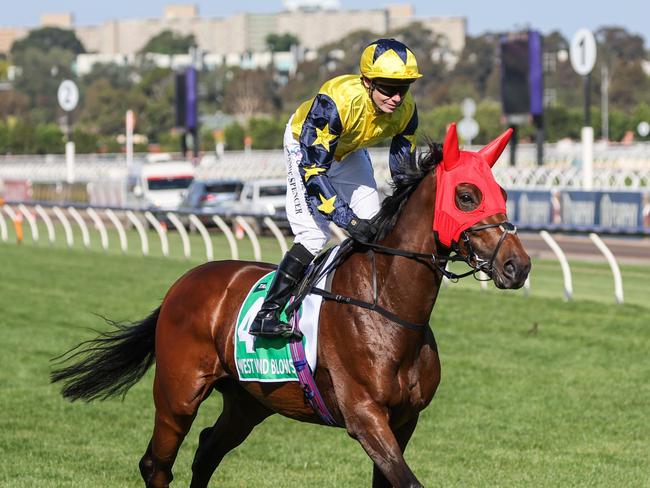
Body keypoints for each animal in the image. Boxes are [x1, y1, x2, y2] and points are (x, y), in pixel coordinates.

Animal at [50, 124, 528, 486]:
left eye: (502, 192)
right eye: (466, 196)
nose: (517, 265)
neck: (388, 310)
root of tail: (181, 285)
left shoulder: (404, 419)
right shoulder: (365, 417)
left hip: (247, 401)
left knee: (206, 450)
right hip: (177, 394)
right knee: (156, 464)